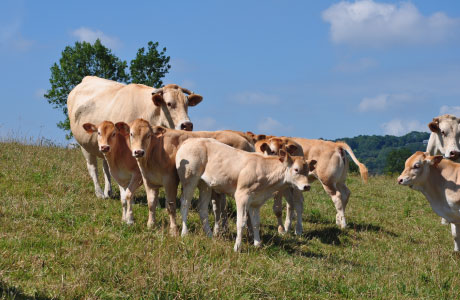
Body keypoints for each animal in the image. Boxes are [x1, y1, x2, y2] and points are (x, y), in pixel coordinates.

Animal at [67, 76, 202, 199]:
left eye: (187, 104)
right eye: (169, 103)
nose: (187, 125)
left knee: (106, 167)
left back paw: (108, 192)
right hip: (84, 145)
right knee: (93, 168)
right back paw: (100, 193)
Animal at [113, 119, 253, 234]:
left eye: (148, 135)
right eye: (131, 134)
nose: (139, 152)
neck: (155, 152)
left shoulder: (170, 180)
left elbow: (171, 206)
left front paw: (173, 230)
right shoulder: (149, 181)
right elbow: (151, 203)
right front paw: (150, 225)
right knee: (221, 206)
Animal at [174, 138, 314, 251]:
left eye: (308, 171)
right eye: (296, 170)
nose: (307, 186)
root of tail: (190, 140)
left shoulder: (256, 202)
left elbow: (256, 223)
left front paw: (258, 244)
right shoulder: (242, 196)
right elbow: (241, 222)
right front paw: (237, 247)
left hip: (205, 185)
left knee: (202, 208)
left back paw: (210, 235)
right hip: (190, 179)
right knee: (185, 204)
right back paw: (184, 233)